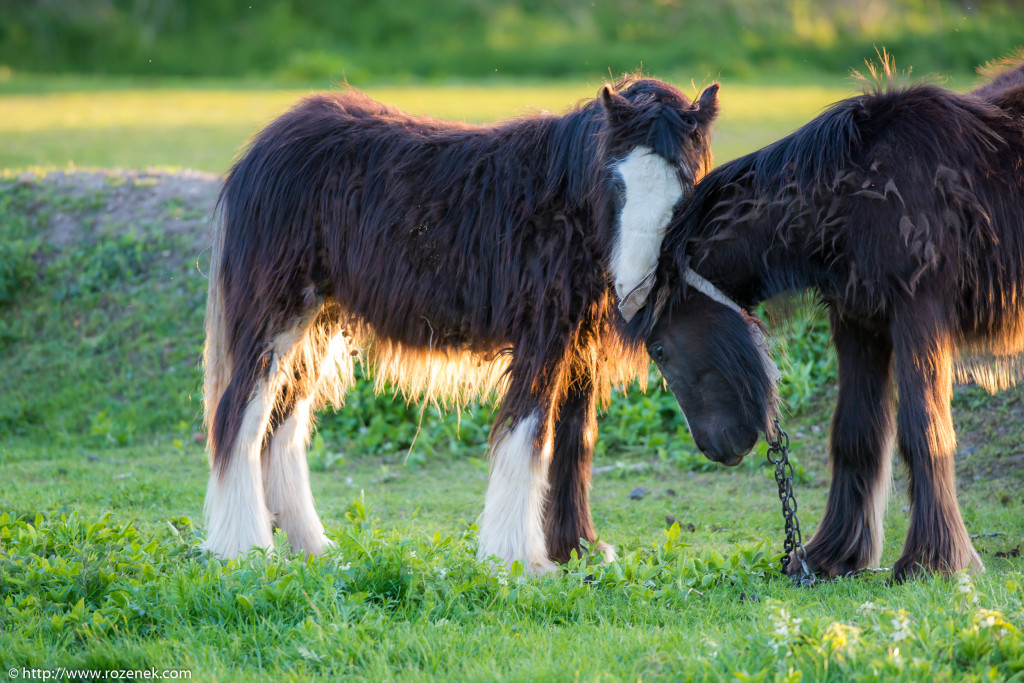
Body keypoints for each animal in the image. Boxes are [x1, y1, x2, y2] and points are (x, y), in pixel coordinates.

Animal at [205, 78, 720, 573]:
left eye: (685, 188)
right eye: (617, 183)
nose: (635, 292)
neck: (565, 207)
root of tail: (261, 149)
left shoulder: (579, 344)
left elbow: (575, 438)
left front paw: (578, 550)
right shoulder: (543, 335)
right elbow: (530, 433)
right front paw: (517, 559)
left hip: (318, 321)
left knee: (282, 424)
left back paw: (311, 548)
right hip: (279, 313)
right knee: (239, 415)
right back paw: (244, 549)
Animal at [630, 56, 1024, 585]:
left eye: (658, 349)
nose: (714, 449)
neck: (854, 193)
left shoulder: (918, 314)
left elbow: (924, 431)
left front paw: (932, 560)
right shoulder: (859, 321)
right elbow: (856, 434)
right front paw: (833, 554)